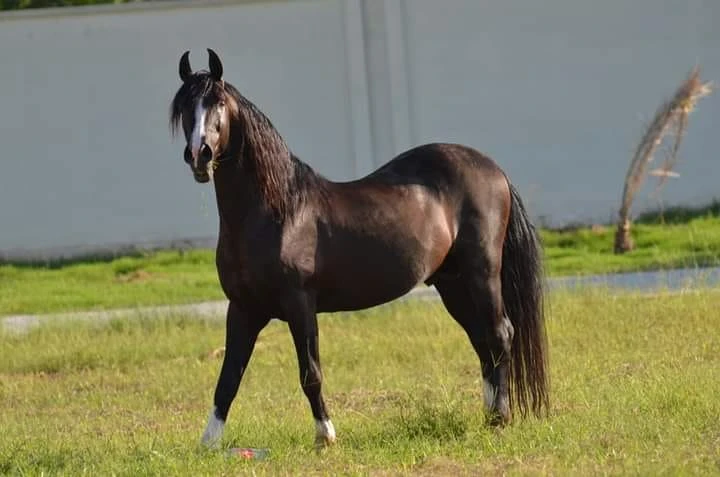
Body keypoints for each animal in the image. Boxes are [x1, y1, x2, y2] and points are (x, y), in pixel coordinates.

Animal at [169, 49, 548, 449]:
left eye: (217, 103)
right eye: (185, 107)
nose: (199, 154)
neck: (277, 212)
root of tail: (492, 169)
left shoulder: (299, 304)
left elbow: (310, 372)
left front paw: (325, 435)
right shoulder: (243, 308)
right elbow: (228, 379)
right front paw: (208, 443)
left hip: (482, 273)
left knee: (500, 334)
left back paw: (501, 419)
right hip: (453, 283)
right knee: (482, 341)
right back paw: (489, 416)